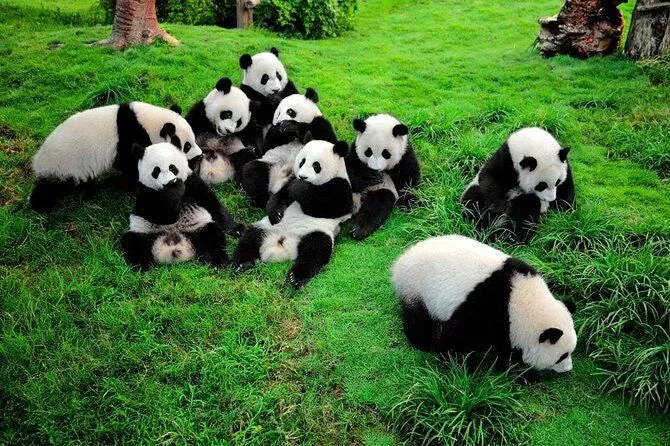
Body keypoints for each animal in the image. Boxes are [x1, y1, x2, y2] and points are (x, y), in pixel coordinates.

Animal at [30, 101, 202, 212]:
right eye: (186, 146)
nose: (199, 156)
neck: (148, 123)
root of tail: (38, 160)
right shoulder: (130, 136)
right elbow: (132, 164)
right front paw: (125, 184)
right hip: (64, 164)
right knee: (52, 187)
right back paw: (40, 205)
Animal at [120, 142, 228, 270]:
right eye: (156, 171)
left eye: (172, 167)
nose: (168, 182)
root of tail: (175, 244)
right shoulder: (145, 192)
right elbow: (162, 215)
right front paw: (174, 191)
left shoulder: (191, 181)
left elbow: (210, 201)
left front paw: (236, 229)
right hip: (144, 231)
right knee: (133, 243)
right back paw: (143, 265)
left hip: (198, 227)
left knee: (212, 236)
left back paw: (216, 261)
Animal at [232, 139, 353, 288]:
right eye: (302, 161)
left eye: (316, 165)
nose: (302, 176)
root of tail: (283, 244)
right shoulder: (290, 180)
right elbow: (281, 196)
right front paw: (276, 213)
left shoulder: (341, 186)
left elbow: (330, 207)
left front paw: (299, 188)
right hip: (266, 227)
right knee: (251, 238)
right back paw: (242, 263)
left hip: (315, 232)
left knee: (315, 251)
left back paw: (296, 276)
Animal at [391, 235, 577, 373]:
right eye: (562, 356)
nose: (568, 369)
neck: (519, 299)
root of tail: (400, 262)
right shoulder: (486, 306)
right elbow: (456, 336)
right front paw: (456, 361)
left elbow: (505, 344)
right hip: (416, 287)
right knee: (417, 319)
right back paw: (424, 342)